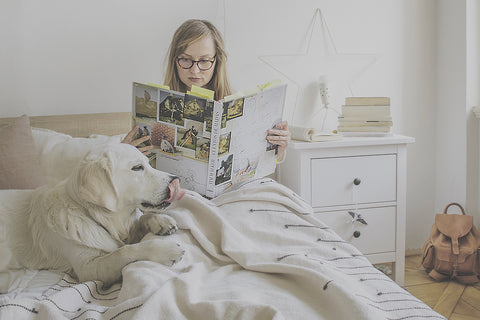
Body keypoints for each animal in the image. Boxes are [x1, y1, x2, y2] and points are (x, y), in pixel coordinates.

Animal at [0, 142, 186, 288]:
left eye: (149, 163)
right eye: (137, 168)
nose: (176, 179)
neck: (92, 215)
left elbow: (140, 220)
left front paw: (161, 221)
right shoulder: (88, 269)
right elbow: (124, 251)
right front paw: (165, 250)